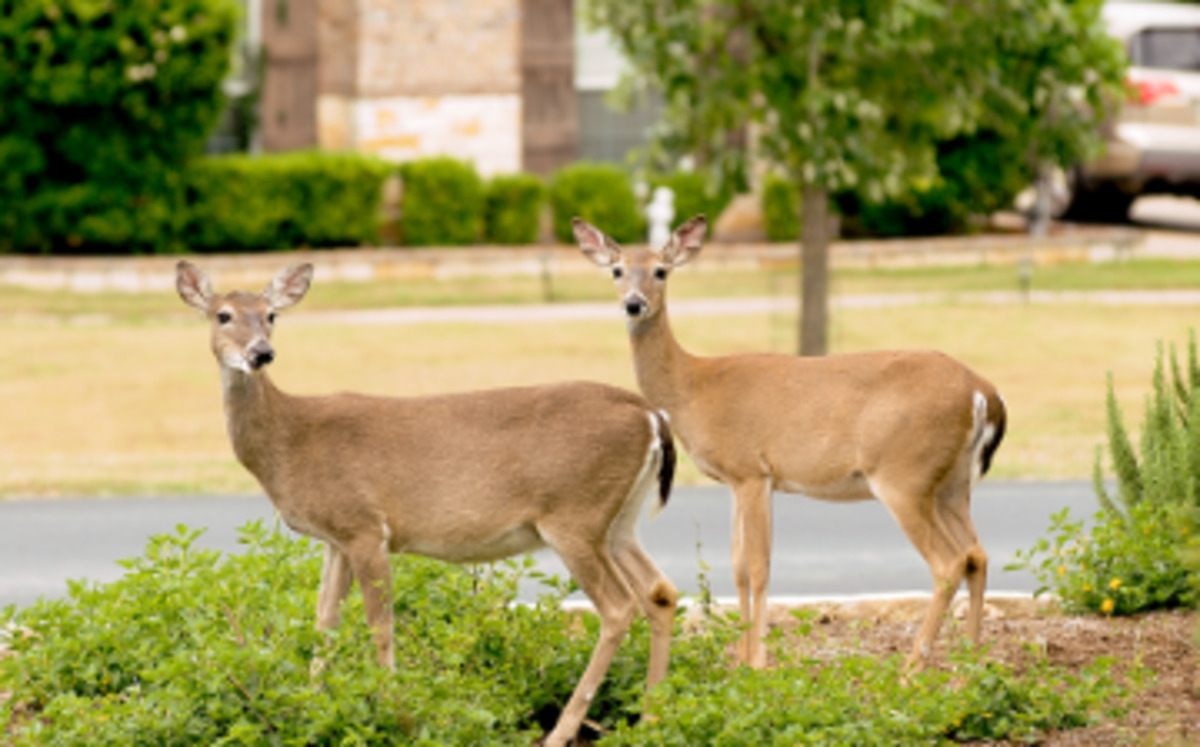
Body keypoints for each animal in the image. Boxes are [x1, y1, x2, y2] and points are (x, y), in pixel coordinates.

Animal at [175, 260, 679, 747]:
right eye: (223, 315)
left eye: (271, 315)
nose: (261, 353)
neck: (290, 441)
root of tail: (651, 414)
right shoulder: (336, 538)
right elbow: (324, 620)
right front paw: (310, 707)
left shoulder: (364, 526)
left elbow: (379, 625)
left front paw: (396, 715)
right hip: (618, 521)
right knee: (659, 592)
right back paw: (651, 718)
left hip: (573, 513)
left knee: (618, 606)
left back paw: (562, 732)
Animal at [573, 215, 1007, 672]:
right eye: (617, 270)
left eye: (660, 270)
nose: (634, 304)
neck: (692, 388)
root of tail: (982, 392)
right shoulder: (739, 479)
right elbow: (738, 565)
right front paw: (740, 659)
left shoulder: (751, 469)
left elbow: (759, 566)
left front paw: (757, 662)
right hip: (953, 484)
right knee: (976, 555)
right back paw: (967, 670)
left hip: (904, 475)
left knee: (948, 562)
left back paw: (911, 671)